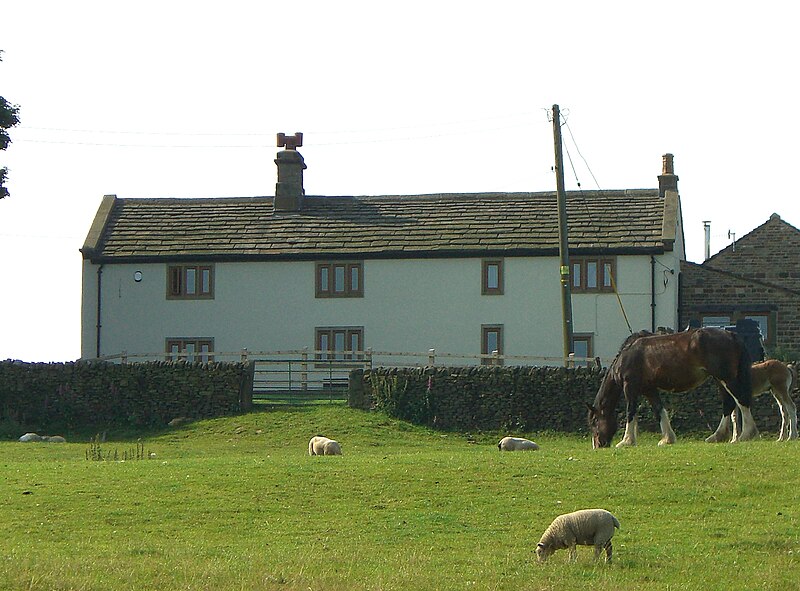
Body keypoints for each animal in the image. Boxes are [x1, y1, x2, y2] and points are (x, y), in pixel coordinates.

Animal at [588, 328, 756, 448]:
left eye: (595, 421)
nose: (597, 445)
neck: (628, 355)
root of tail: (731, 334)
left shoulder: (630, 387)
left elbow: (631, 412)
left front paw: (626, 441)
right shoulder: (649, 389)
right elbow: (659, 410)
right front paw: (667, 439)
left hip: (726, 379)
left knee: (740, 401)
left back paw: (746, 434)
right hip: (719, 380)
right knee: (729, 404)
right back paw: (718, 436)